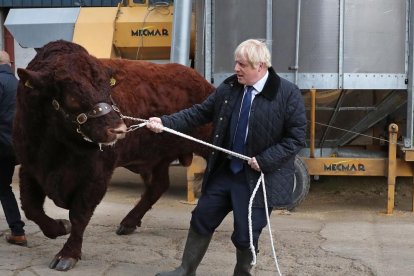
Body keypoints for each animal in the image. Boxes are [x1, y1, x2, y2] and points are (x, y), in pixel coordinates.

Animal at [12, 40, 213, 270]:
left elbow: (79, 214)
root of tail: (200, 80)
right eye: (72, 95)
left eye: (108, 89)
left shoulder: (97, 175)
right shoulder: (30, 167)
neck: (57, 147)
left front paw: (67, 254)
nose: (118, 129)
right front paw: (59, 227)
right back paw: (128, 222)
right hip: (155, 158)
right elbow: (30, 208)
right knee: (158, 185)